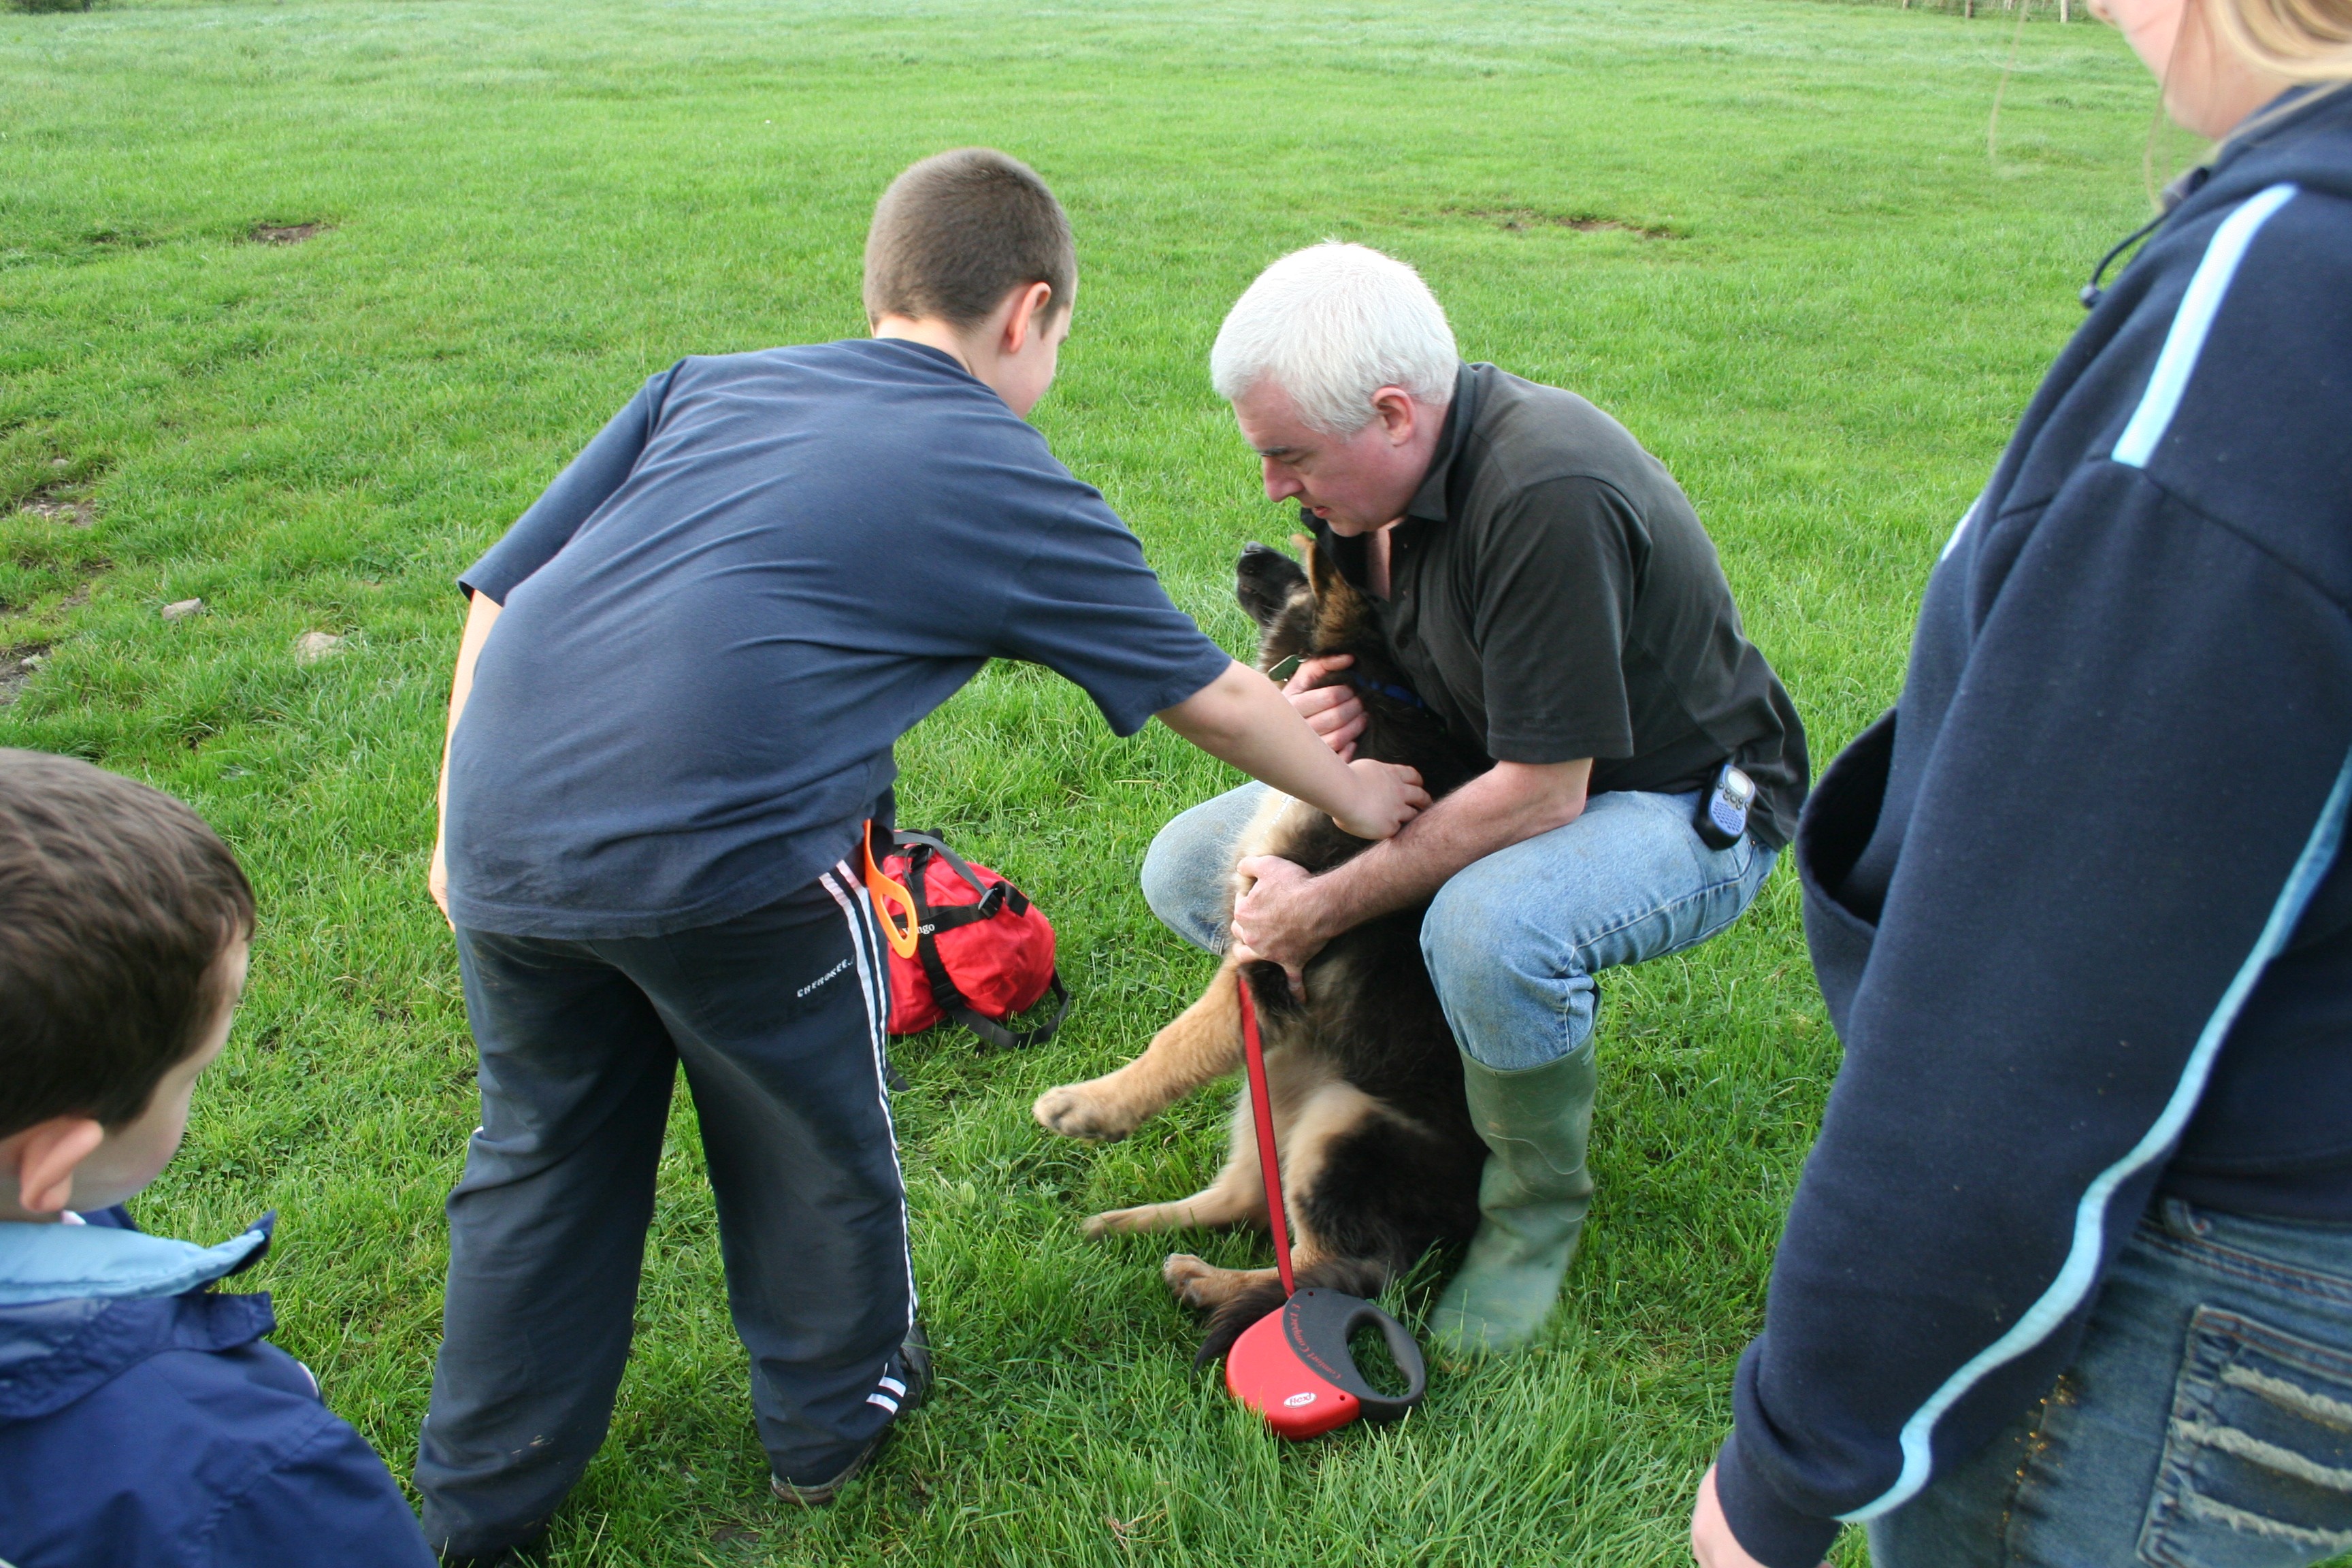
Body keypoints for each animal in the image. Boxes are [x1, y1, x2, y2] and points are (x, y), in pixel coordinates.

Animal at [1030, 540, 1486, 1363]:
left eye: (1302, 563)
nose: (1246, 551)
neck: (1376, 684)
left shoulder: (1274, 943)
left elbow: (1175, 1040)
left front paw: (1092, 1108)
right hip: (1271, 1084)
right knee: (1248, 1199)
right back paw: (1136, 1229)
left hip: (1341, 1122)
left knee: (1331, 1270)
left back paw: (1212, 1285)